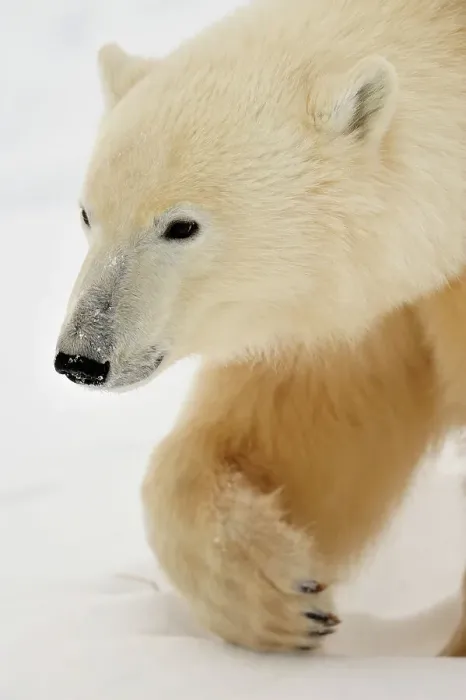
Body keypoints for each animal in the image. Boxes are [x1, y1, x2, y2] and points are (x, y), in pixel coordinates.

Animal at [54, 0, 466, 654]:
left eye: (182, 226)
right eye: (88, 214)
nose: (82, 357)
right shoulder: (381, 301)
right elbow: (318, 418)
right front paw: (281, 596)